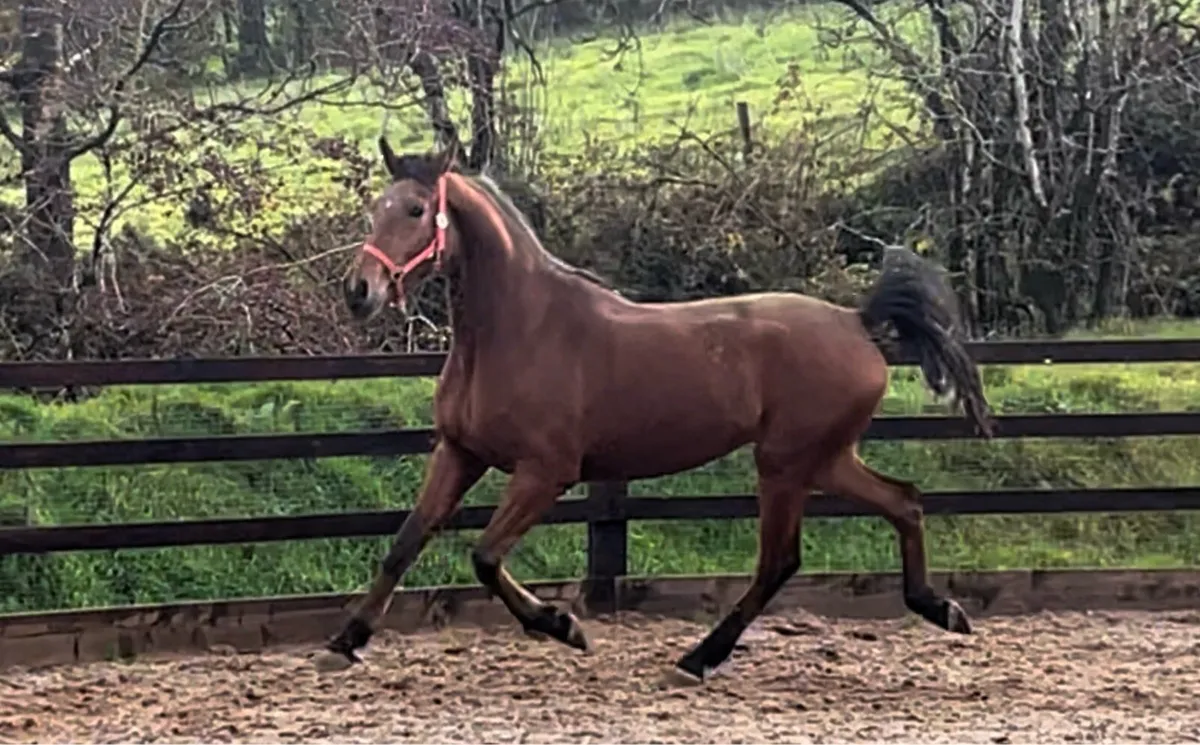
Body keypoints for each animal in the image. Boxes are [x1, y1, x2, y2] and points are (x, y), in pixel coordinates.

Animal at [319, 139, 995, 683]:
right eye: (376, 208)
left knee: (780, 560)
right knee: (904, 502)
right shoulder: (459, 454)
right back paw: (939, 608)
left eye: (414, 210)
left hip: (786, 463)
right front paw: (345, 641)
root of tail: (857, 322)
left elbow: (484, 556)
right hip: (823, 461)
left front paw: (562, 625)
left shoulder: (546, 472)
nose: (359, 292)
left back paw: (699, 658)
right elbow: (405, 542)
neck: (519, 329)